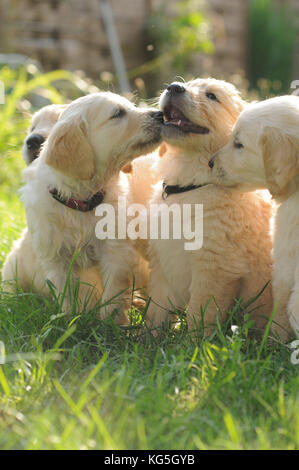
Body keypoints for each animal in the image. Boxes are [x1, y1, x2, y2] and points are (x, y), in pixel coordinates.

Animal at [2, 92, 163, 322]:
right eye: (117, 113)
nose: (160, 114)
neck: (81, 202)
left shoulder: (114, 248)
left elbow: (114, 289)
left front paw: (113, 322)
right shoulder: (55, 256)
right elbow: (67, 293)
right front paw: (72, 319)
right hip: (13, 267)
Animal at [146, 78, 276, 334]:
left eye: (212, 96)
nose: (174, 87)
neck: (191, 185)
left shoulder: (215, 269)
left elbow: (201, 313)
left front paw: (194, 342)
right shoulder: (162, 264)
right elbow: (157, 309)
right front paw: (148, 337)